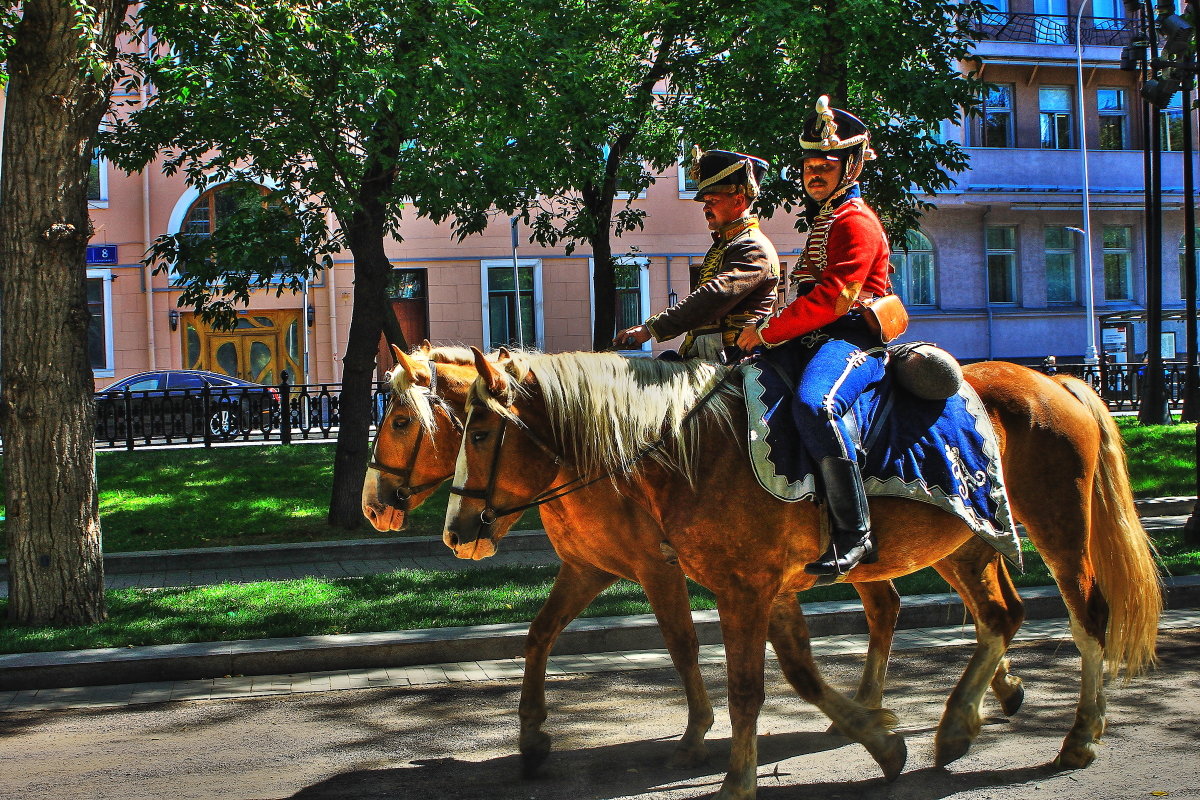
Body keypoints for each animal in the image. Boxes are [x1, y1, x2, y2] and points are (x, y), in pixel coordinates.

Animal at [362, 345, 1022, 777]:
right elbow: (538, 635)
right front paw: (531, 735)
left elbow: (681, 642)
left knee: (986, 611)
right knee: (926, 608)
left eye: (401, 420)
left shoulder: (661, 567)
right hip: (936, 549)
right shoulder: (590, 568)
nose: (374, 507)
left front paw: (697, 731)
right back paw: (942, 702)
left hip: (963, 540)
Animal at [444, 350, 1161, 800]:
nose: (456, 528)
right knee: (999, 617)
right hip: (961, 543)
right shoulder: (761, 587)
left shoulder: (737, 588)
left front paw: (735, 779)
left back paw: (1078, 736)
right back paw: (959, 721)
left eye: (478, 434)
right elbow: (801, 675)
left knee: (1086, 616)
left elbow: (743, 685)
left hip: (1057, 527)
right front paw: (880, 742)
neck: (691, 448)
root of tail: (1060, 384)